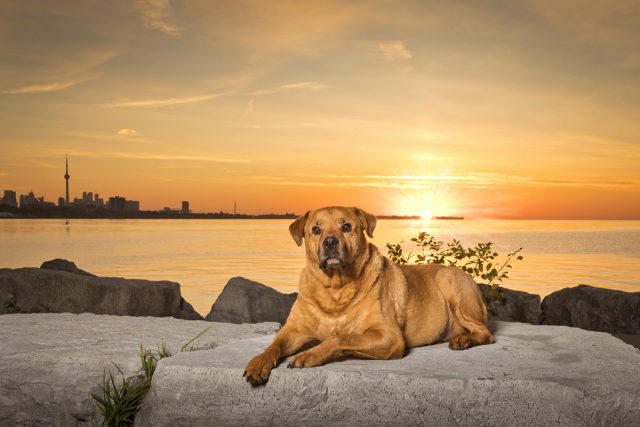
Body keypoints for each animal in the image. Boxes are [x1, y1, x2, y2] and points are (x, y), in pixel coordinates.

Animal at [242, 206, 492, 386]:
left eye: (346, 226)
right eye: (315, 230)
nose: (330, 241)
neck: (336, 288)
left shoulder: (389, 336)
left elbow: (340, 338)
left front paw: (310, 354)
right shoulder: (293, 331)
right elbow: (273, 346)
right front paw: (258, 362)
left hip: (452, 288)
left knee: (486, 334)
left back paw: (463, 340)